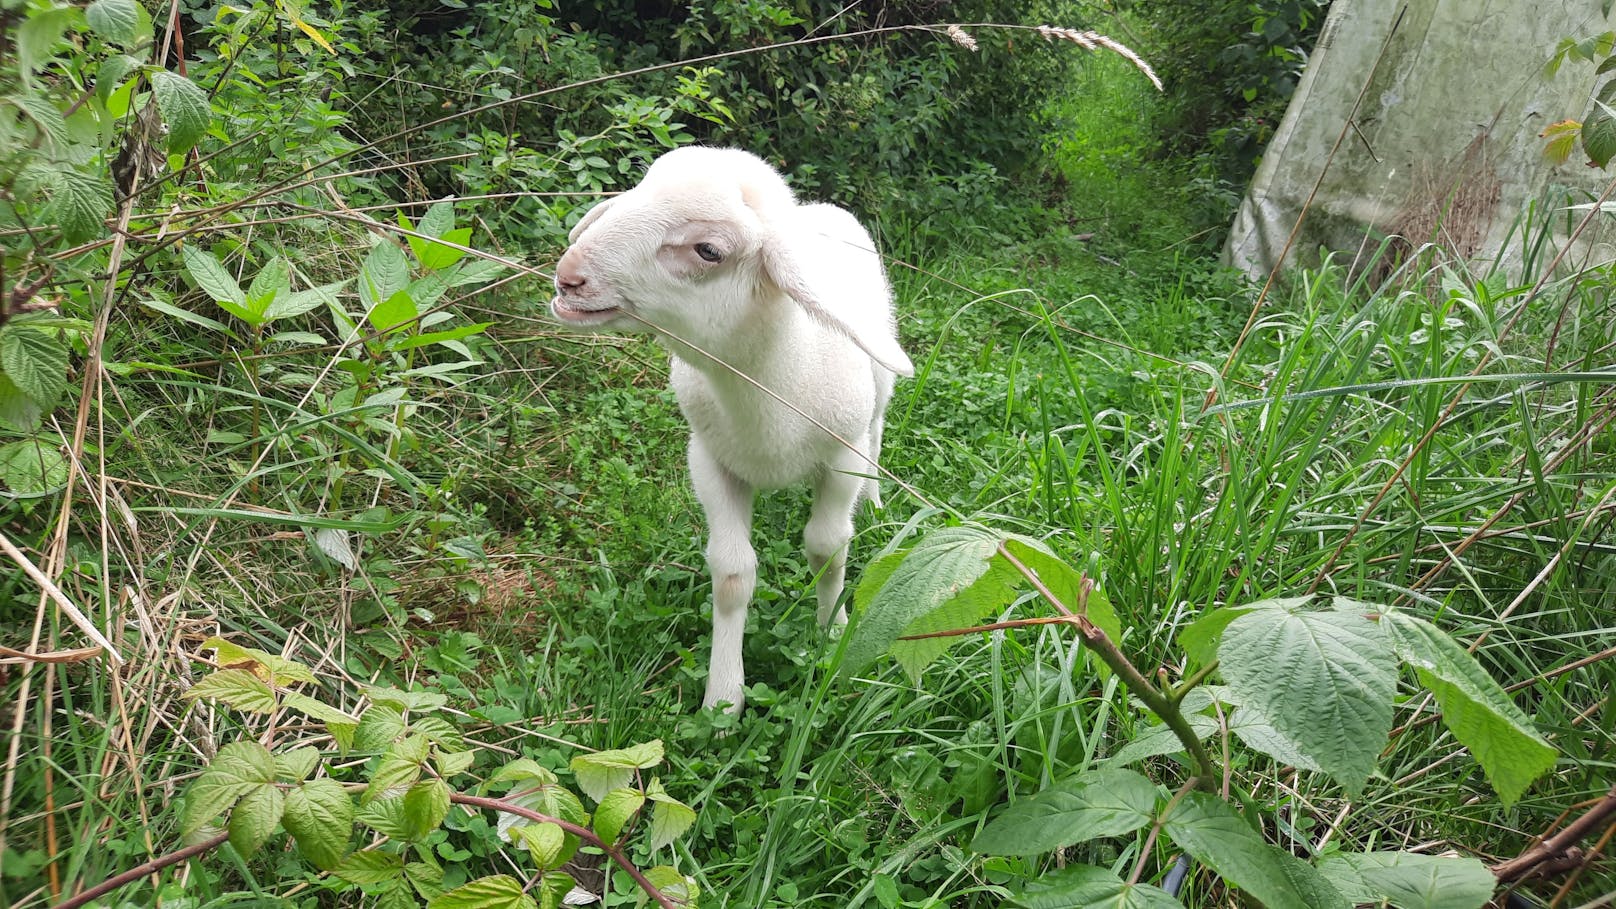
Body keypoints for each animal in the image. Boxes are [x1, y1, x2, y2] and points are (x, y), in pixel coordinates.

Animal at [552, 144, 911, 711]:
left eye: (708, 250)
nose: (568, 276)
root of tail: (821, 208)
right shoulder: (709, 458)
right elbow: (731, 573)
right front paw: (723, 697)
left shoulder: (840, 456)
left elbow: (828, 547)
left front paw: (831, 637)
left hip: (876, 389)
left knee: (877, 431)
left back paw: (875, 503)